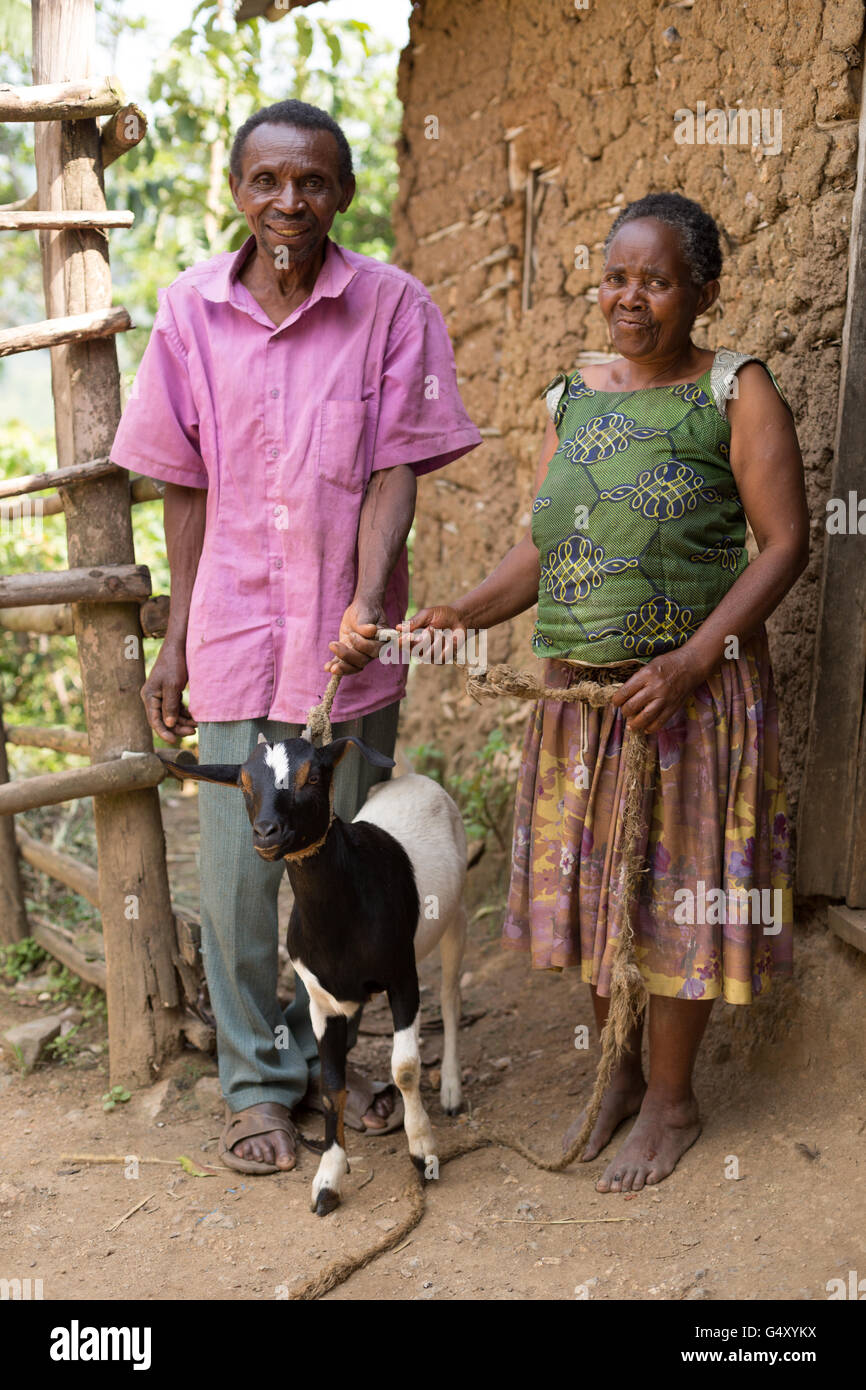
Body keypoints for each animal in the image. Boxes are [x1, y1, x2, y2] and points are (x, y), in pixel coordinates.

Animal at [164, 735, 467, 1215]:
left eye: (313, 777)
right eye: (244, 784)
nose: (265, 832)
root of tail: (413, 778)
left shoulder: (402, 976)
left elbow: (404, 1068)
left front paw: (423, 1153)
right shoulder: (322, 1003)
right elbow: (330, 1087)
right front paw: (328, 1179)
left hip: (455, 917)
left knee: (453, 997)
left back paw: (452, 1090)